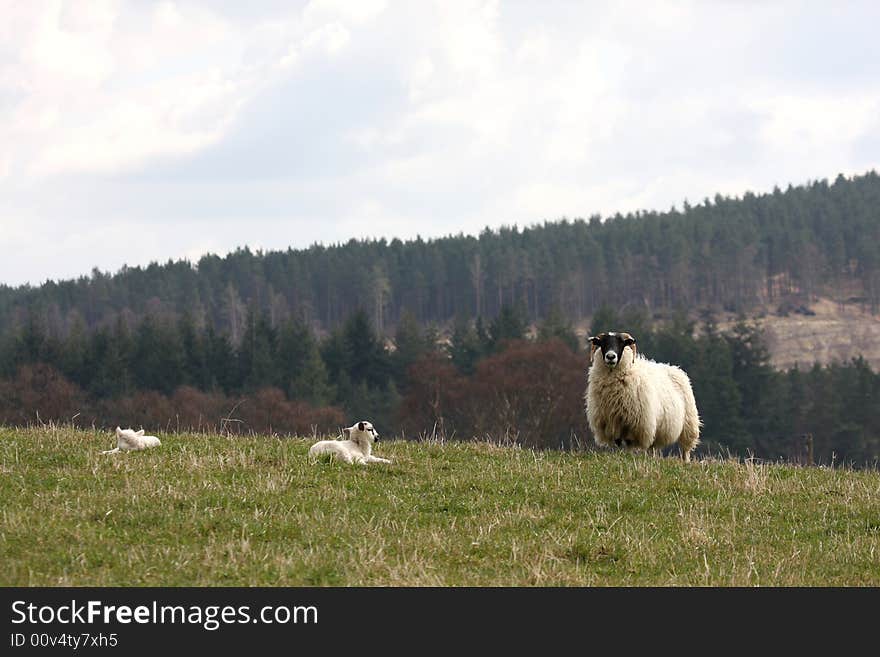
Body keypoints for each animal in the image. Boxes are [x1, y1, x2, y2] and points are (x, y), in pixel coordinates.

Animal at [584, 328, 700, 462]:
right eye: (603, 343)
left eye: (621, 343)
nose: (611, 356)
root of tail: (675, 368)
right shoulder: (615, 422)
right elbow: (619, 443)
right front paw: (620, 457)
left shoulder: (635, 424)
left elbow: (628, 444)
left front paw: (628, 457)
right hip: (656, 428)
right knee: (653, 447)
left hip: (688, 423)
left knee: (685, 448)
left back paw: (685, 462)